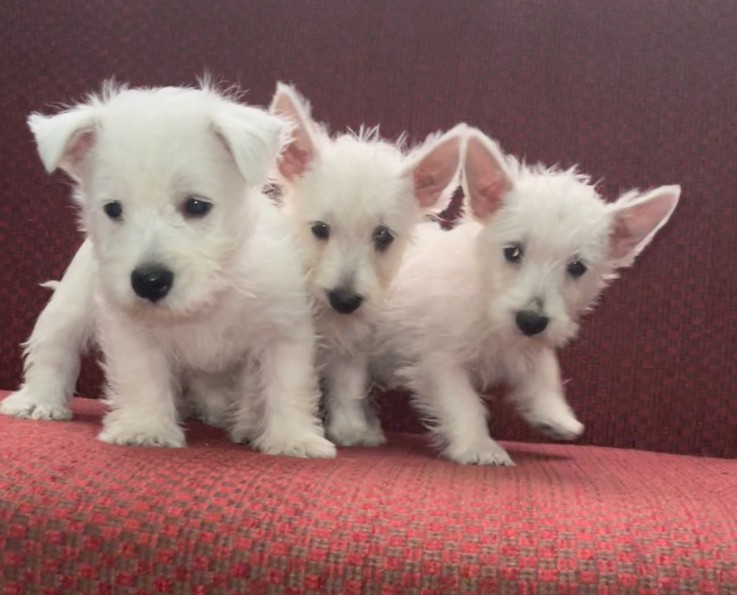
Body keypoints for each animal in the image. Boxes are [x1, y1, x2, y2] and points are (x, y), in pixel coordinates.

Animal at [0, 81, 334, 458]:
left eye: (197, 205)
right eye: (113, 209)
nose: (149, 282)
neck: (209, 296)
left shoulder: (284, 327)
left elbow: (287, 384)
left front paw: (294, 439)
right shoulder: (132, 329)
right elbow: (143, 376)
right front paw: (145, 429)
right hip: (70, 304)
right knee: (53, 348)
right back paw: (36, 401)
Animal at [270, 82, 466, 448]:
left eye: (383, 236)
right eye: (320, 229)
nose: (345, 300)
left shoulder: (354, 345)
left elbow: (349, 386)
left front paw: (351, 430)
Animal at [368, 128, 680, 468]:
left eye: (577, 267)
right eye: (513, 252)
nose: (531, 320)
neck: (485, 299)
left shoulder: (530, 344)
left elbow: (545, 370)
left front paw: (554, 414)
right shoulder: (439, 362)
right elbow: (463, 403)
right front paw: (479, 446)